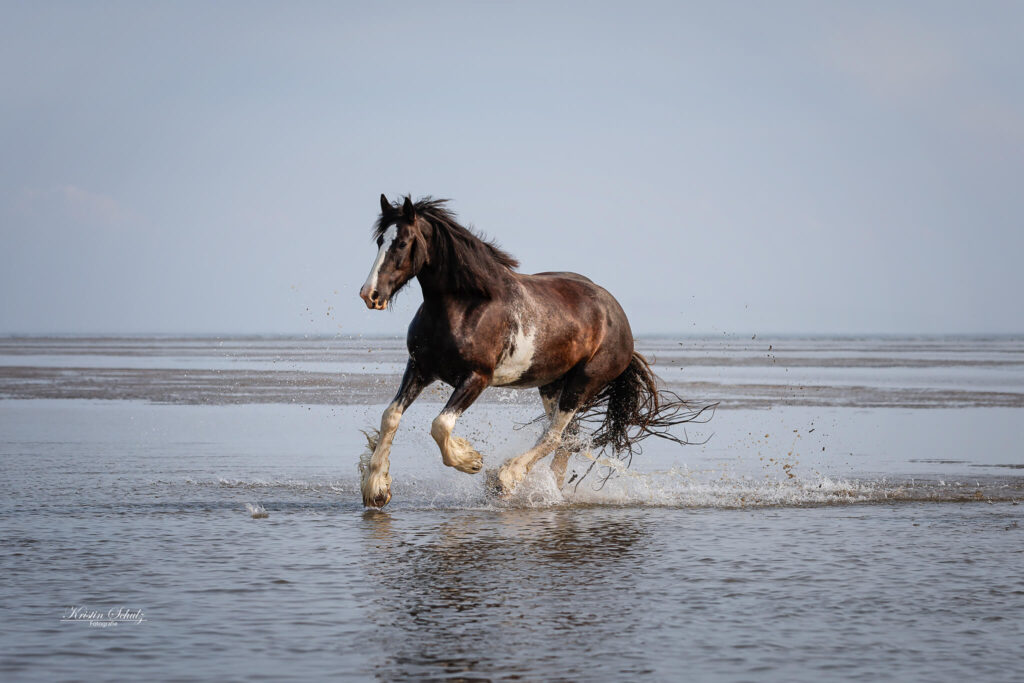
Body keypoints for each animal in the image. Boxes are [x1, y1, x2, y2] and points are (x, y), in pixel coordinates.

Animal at [357, 194, 710, 508]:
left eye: (402, 243)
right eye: (379, 241)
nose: (370, 295)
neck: (465, 305)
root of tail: (617, 315)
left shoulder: (476, 377)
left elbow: (440, 425)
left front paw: (471, 460)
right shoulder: (420, 368)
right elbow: (391, 416)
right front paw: (377, 488)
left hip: (583, 382)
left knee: (555, 435)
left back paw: (506, 478)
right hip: (551, 384)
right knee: (567, 437)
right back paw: (549, 489)